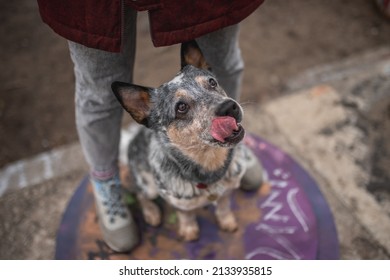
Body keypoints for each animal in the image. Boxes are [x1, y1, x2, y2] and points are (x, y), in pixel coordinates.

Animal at [111, 41, 248, 241]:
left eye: (212, 82)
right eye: (181, 107)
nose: (230, 106)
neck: (209, 165)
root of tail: (132, 139)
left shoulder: (228, 190)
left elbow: (223, 206)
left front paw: (227, 221)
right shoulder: (177, 201)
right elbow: (186, 214)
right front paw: (189, 230)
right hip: (148, 186)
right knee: (139, 194)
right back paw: (151, 213)